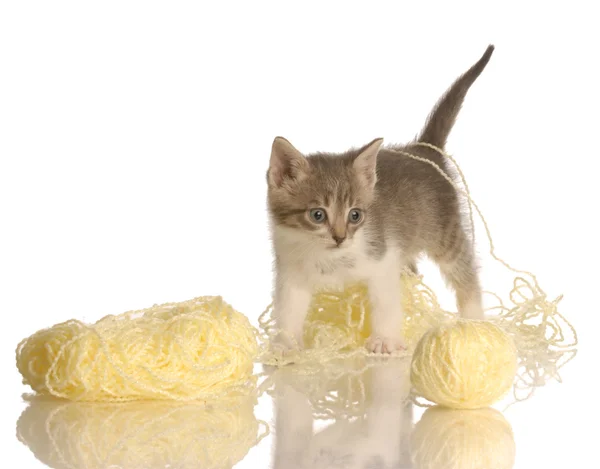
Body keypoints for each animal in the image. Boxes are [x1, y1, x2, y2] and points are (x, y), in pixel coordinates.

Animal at [268, 44, 496, 352]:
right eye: (318, 214)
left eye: (355, 215)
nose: (340, 237)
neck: (333, 258)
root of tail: (424, 150)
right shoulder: (291, 271)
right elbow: (289, 308)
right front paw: (285, 344)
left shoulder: (383, 258)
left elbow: (386, 303)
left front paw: (385, 340)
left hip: (445, 232)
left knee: (465, 271)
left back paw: (475, 320)